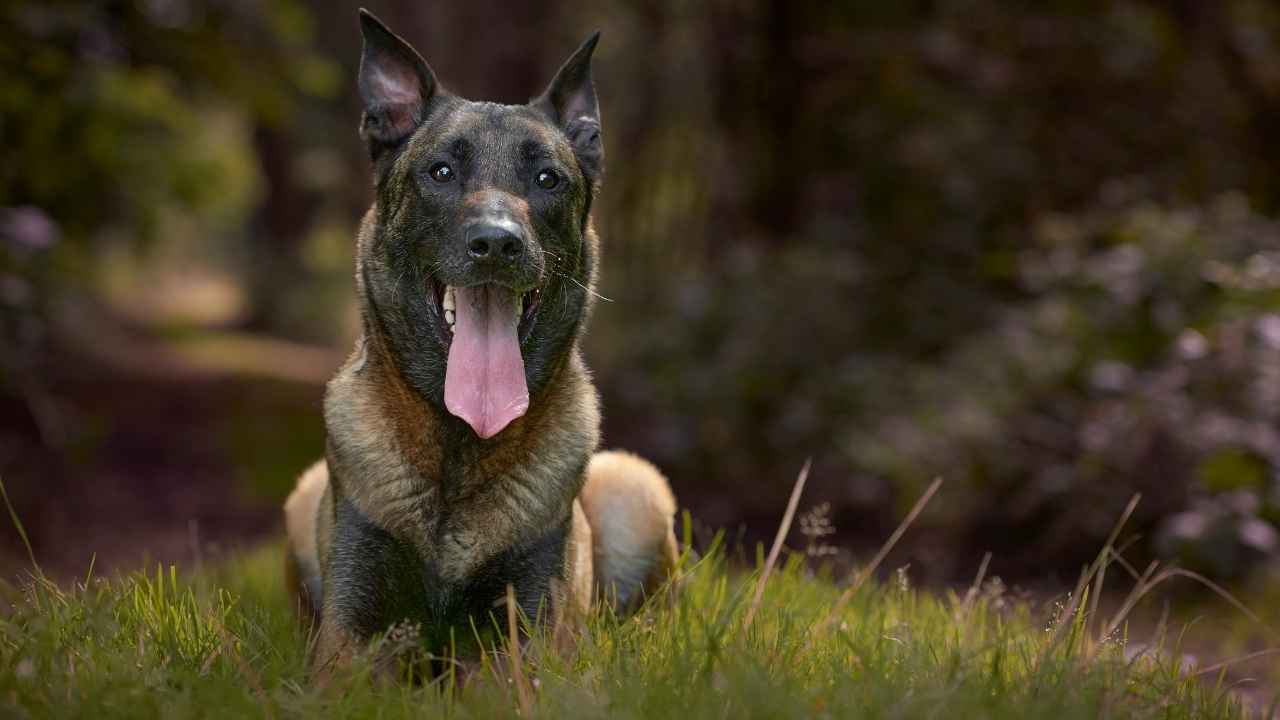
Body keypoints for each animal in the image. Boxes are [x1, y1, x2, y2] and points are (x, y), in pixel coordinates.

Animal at [281, 11, 680, 671]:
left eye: (547, 180)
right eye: (441, 172)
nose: (496, 243)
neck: (460, 446)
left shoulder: (529, 635)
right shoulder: (349, 637)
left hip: (634, 485)